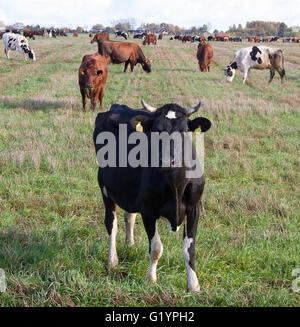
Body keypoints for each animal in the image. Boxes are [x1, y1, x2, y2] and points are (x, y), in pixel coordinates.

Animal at [92, 98, 212, 290]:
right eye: (156, 130)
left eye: (184, 130)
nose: (167, 161)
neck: (176, 185)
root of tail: (118, 107)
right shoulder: (148, 210)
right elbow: (156, 248)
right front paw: (151, 279)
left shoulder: (194, 208)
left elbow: (189, 249)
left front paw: (193, 285)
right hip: (104, 186)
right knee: (111, 223)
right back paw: (112, 260)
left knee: (129, 216)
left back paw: (130, 244)